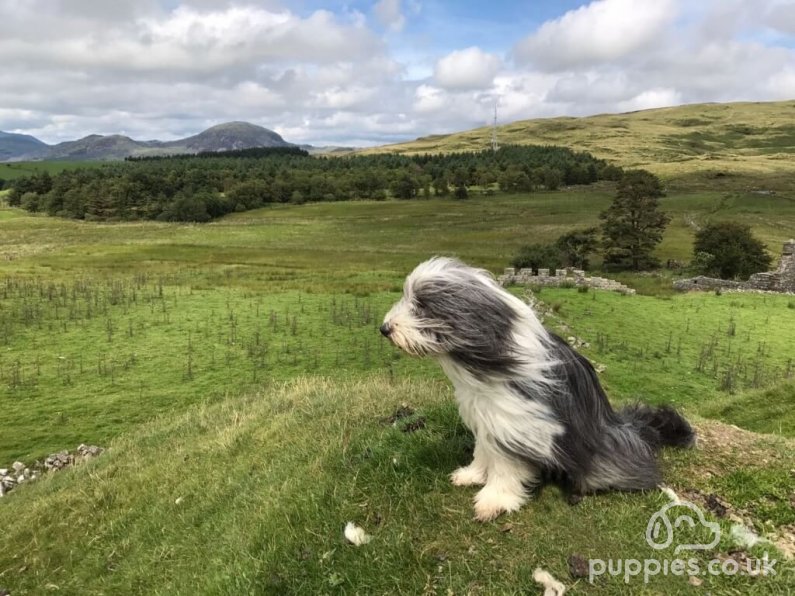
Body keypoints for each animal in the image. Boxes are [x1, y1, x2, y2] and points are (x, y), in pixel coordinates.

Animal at [380, 258, 696, 520]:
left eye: (421, 306)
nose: (384, 329)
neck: (489, 357)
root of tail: (627, 425)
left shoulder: (516, 421)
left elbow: (505, 466)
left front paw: (494, 500)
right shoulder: (485, 414)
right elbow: (483, 450)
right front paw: (472, 474)